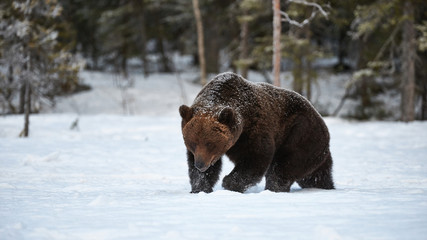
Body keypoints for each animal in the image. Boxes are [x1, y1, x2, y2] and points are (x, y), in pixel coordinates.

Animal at [179, 71, 336, 193]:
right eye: (192, 143)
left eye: (210, 143)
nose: (200, 165)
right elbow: (203, 169)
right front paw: (200, 188)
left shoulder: (254, 129)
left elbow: (256, 157)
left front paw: (229, 182)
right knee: (315, 176)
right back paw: (325, 186)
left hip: (301, 134)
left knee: (283, 166)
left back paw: (274, 188)